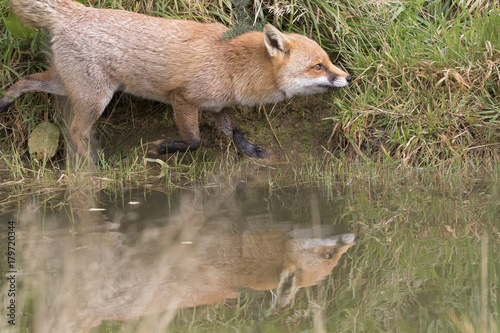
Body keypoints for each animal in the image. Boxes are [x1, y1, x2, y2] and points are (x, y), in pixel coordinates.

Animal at [0, 0, 352, 162]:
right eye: (318, 66)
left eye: (328, 61)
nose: (348, 77)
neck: (233, 65)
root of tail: (76, 10)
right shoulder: (183, 99)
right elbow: (194, 141)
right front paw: (162, 148)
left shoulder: (219, 104)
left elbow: (234, 131)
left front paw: (251, 151)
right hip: (94, 98)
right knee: (75, 131)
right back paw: (95, 166)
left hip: (68, 84)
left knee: (25, 81)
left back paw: (4, 100)